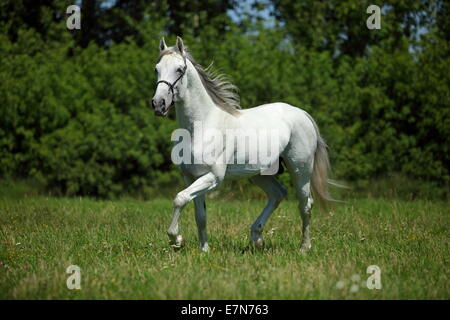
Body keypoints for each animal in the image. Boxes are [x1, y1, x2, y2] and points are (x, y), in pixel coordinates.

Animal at [153, 37, 332, 252]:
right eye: (156, 69)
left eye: (179, 69)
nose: (158, 104)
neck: (202, 126)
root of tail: (302, 113)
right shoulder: (191, 177)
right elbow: (199, 215)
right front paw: (204, 251)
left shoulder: (213, 178)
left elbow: (179, 199)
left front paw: (176, 239)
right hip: (260, 173)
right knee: (278, 194)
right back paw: (257, 238)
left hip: (300, 169)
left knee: (305, 204)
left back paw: (304, 248)